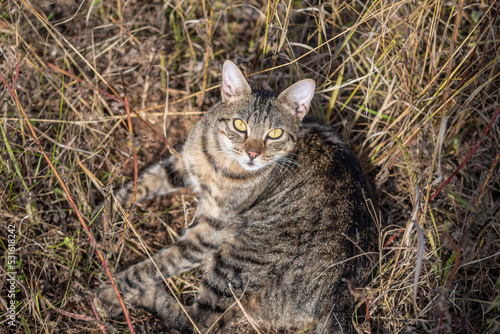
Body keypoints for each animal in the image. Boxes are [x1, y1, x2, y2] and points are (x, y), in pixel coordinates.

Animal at [94, 60, 376, 334]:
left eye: (275, 133)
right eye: (239, 125)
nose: (252, 153)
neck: (219, 163)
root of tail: (342, 299)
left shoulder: (211, 230)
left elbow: (158, 264)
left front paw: (114, 289)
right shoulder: (183, 163)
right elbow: (143, 182)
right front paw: (103, 211)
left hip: (236, 260)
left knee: (196, 321)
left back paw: (142, 296)